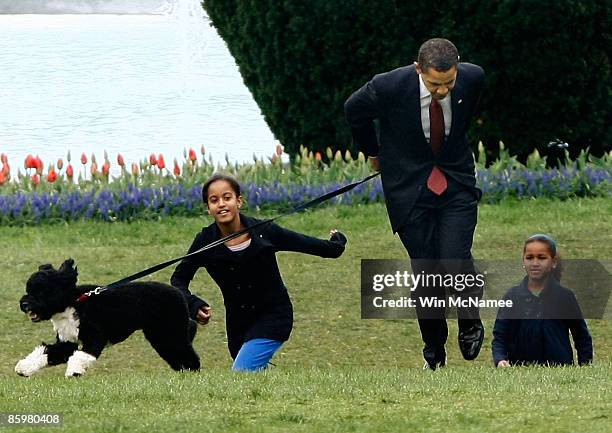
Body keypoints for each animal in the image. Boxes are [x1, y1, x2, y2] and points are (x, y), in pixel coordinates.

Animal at [15, 258, 200, 376]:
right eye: (29, 289)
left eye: (42, 291)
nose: (24, 304)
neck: (73, 303)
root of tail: (178, 293)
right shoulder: (67, 342)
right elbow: (47, 352)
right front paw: (24, 367)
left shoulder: (95, 336)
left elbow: (82, 355)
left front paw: (74, 371)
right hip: (160, 335)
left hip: (170, 331)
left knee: (187, 353)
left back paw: (192, 373)